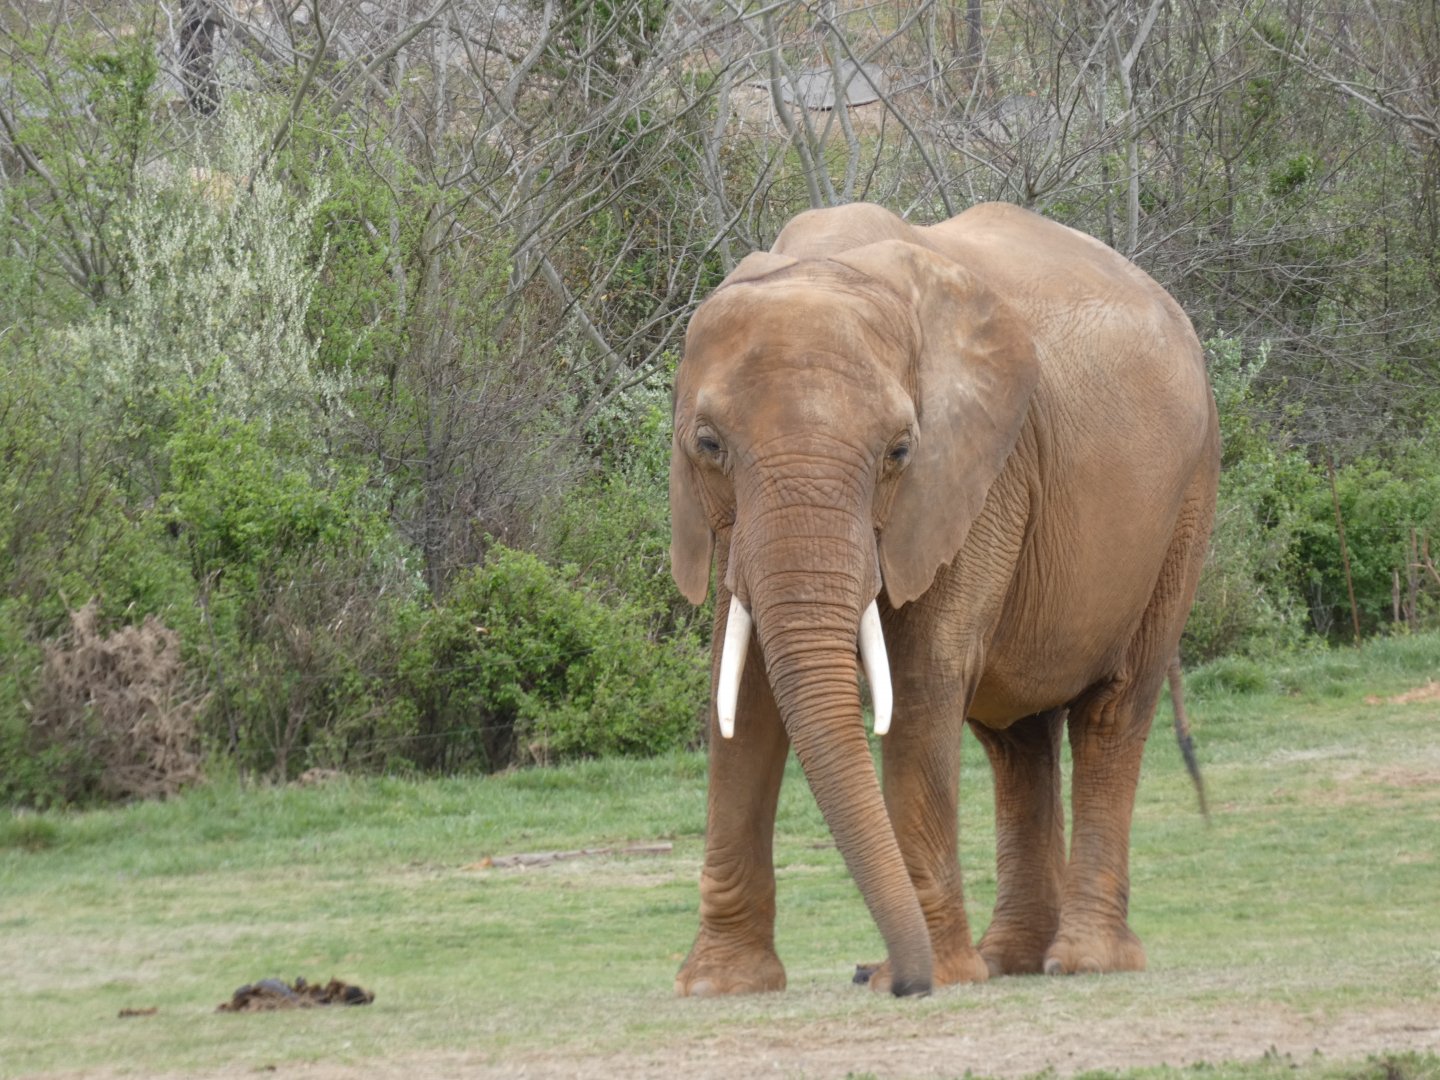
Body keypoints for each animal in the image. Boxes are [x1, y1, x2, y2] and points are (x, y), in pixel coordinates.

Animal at [668, 201, 1220, 998]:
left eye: (900, 452)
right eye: (708, 446)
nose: (883, 977)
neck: (829, 266)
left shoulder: (980, 472)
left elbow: (922, 678)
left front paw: (931, 977)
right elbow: (743, 689)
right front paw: (718, 985)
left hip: (1188, 498)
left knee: (1113, 713)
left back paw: (1080, 960)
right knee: (1017, 742)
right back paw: (1011, 959)